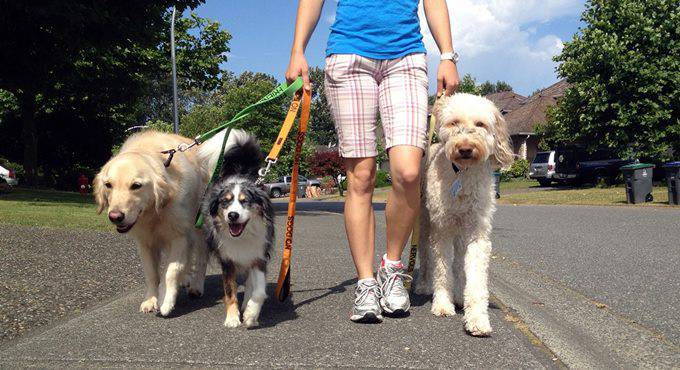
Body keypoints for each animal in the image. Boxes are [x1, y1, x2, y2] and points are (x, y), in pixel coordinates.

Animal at [412, 94, 512, 336]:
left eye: (480, 124)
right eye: (454, 122)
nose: (465, 148)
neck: (463, 175)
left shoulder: (477, 233)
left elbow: (475, 277)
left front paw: (477, 318)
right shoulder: (442, 230)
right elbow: (442, 269)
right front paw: (442, 304)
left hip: (460, 232)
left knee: (458, 264)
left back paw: (458, 295)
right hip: (426, 223)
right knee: (427, 257)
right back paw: (424, 285)